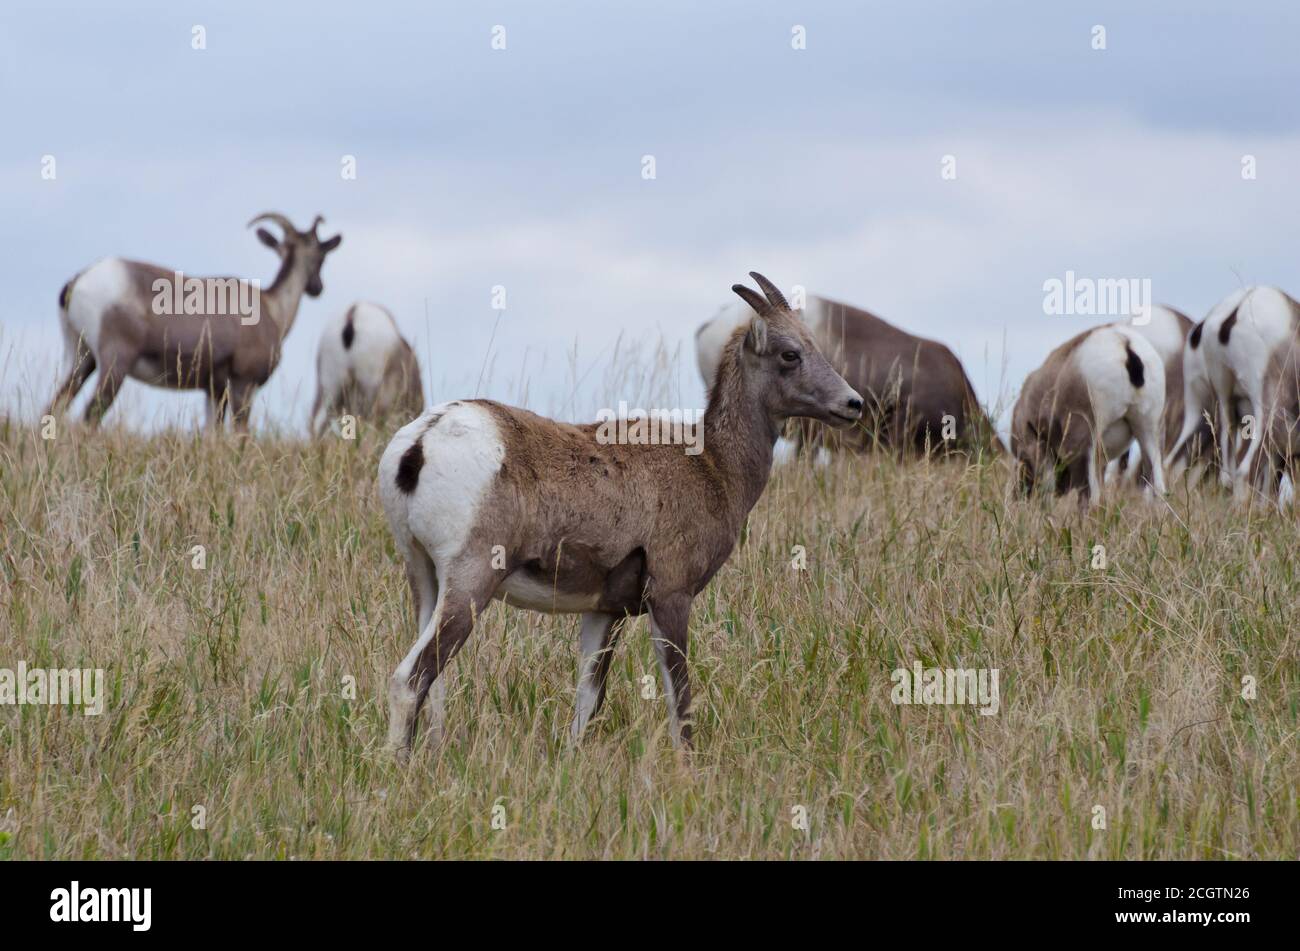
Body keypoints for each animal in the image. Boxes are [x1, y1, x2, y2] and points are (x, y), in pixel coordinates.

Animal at [44, 213, 340, 431]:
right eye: (321, 255)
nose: (317, 287)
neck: (271, 307)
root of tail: (79, 280)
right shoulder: (241, 385)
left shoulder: (214, 390)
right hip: (114, 365)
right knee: (90, 416)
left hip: (81, 358)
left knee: (54, 407)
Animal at [377, 271, 863, 753]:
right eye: (790, 353)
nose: (853, 404)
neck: (713, 466)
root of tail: (420, 443)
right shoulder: (671, 597)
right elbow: (680, 701)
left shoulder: (603, 614)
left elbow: (588, 702)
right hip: (470, 582)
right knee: (410, 679)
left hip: (425, 580)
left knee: (433, 685)